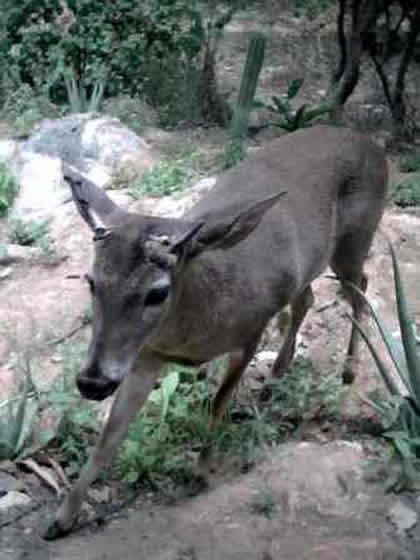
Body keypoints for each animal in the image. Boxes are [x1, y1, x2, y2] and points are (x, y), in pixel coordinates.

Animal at [45, 127, 388, 540]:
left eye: (157, 292)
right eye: (91, 281)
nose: (92, 382)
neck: (192, 331)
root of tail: (370, 143)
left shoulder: (250, 330)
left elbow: (219, 402)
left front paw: (202, 471)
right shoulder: (145, 357)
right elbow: (109, 436)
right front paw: (63, 517)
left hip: (357, 235)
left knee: (360, 289)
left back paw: (349, 370)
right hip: (311, 261)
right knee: (307, 296)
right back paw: (276, 376)